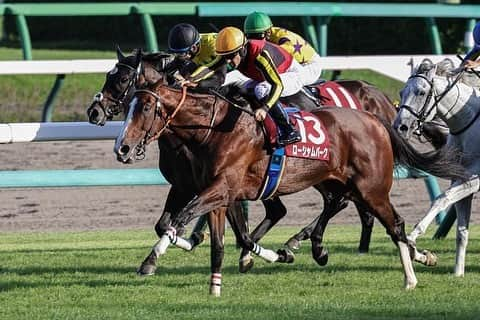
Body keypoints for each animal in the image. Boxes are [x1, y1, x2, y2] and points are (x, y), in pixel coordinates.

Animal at [112, 81, 464, 296]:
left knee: (395, 225)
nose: (122, 148)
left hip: (372, 189)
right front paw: (216, 285)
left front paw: (156, 258)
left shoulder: (219, 189)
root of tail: (376, 120)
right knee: (340, 206)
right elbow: (220, 240)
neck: (212, 128)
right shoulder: (217, 192)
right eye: (128, 104)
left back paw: (410, 276)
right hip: (340, 182)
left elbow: (182, 219)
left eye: (145, 108)